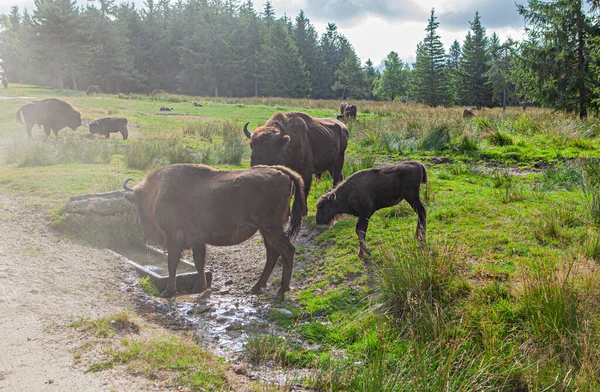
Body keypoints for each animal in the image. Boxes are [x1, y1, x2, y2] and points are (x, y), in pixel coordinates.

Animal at [123, 163, 308, 300]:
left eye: (139, 204)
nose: (147, 234)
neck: (158, 191)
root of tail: (282, 174)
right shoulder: (196, 240)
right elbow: (199, 262)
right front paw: (199, 287)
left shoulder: (173, 236)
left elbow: (172, 263)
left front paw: (167, 292)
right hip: (266, 230)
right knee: (272, 254)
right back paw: (256, 287)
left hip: (271, 228)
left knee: (287, 251)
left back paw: (280, 292)